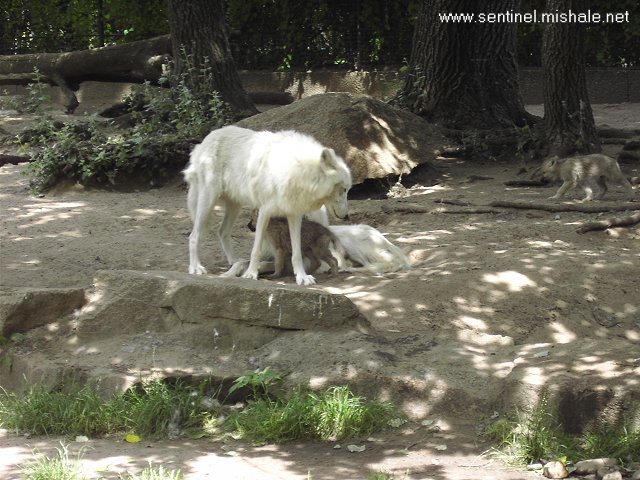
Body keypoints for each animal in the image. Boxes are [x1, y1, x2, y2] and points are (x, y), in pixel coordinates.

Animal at [183, 126, 352, 285]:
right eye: (344, 189)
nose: (347, 216)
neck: (296, 169)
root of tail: (205, 140)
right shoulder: (265, 211)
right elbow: (256, 250)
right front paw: (251, 274)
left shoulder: (294, 215)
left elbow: (296, 253)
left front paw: (302, 277)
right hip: (207, 201)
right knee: (194, 235)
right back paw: (196, 267)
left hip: (235, 206)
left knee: (222, 231)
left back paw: (233, 261)